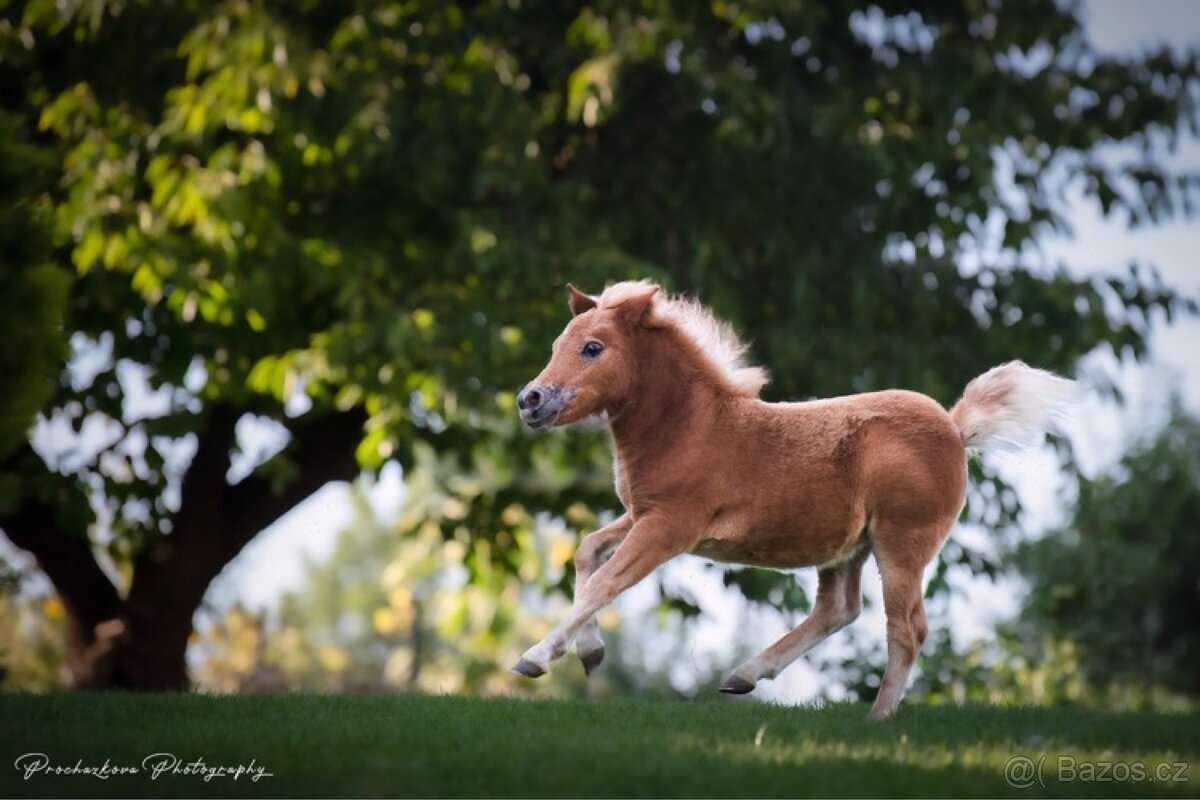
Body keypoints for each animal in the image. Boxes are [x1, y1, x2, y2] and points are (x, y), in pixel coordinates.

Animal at [511, 280, 1075, 718]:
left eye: (592, 348)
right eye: (558, 344)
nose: (529, 400)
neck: (689, 427)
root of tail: (957, 430)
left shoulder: (670, 525)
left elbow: (604, 584)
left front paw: (535, 657)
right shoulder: (640, 515)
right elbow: (587, 553)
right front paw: (590, 652)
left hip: (901, 545)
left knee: (907, 629)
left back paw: (876, 721)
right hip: (848, 549)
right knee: (839, 609)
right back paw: (745, 675)